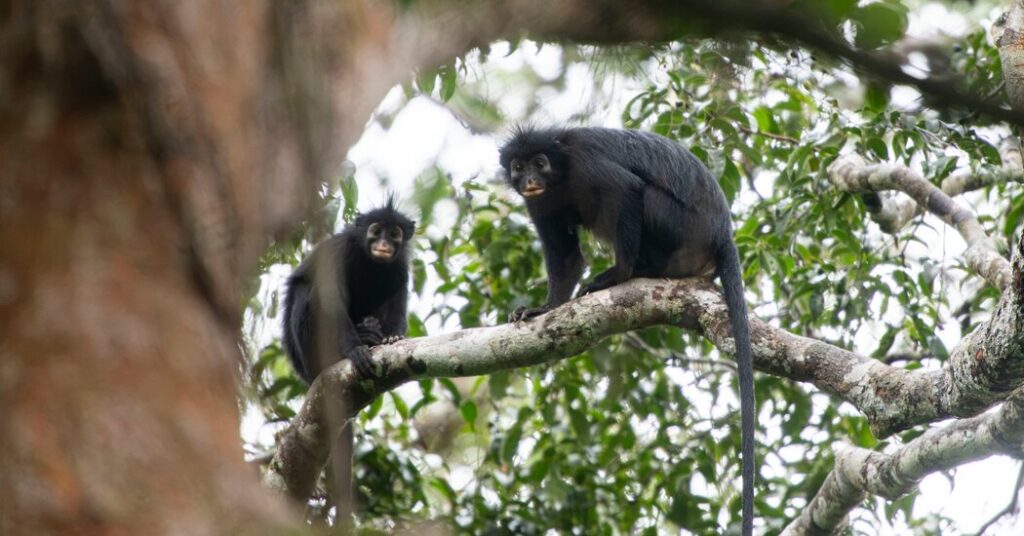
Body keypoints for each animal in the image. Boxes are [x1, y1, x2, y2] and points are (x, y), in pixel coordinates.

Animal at [282, 198, 415, 383]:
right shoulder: (339, 250)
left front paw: (393, 335)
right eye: (376, 231)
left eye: (394, 234)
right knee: (304, 291)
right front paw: (355, 349)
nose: (383, 244)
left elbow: (397, 300)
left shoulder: (400, 266)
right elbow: (331, 299)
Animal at [500, 126, 755, 536]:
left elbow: (627, 190)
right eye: (518, 167)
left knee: (643, 195)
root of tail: (722, 233)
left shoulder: (585, 162)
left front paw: (618, 274)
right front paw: (544, 308)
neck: (561, 174)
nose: (530, 180)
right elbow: (567, 258)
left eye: (540, 163)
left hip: (680, 226)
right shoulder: (539, 204)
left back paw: (637, 270)